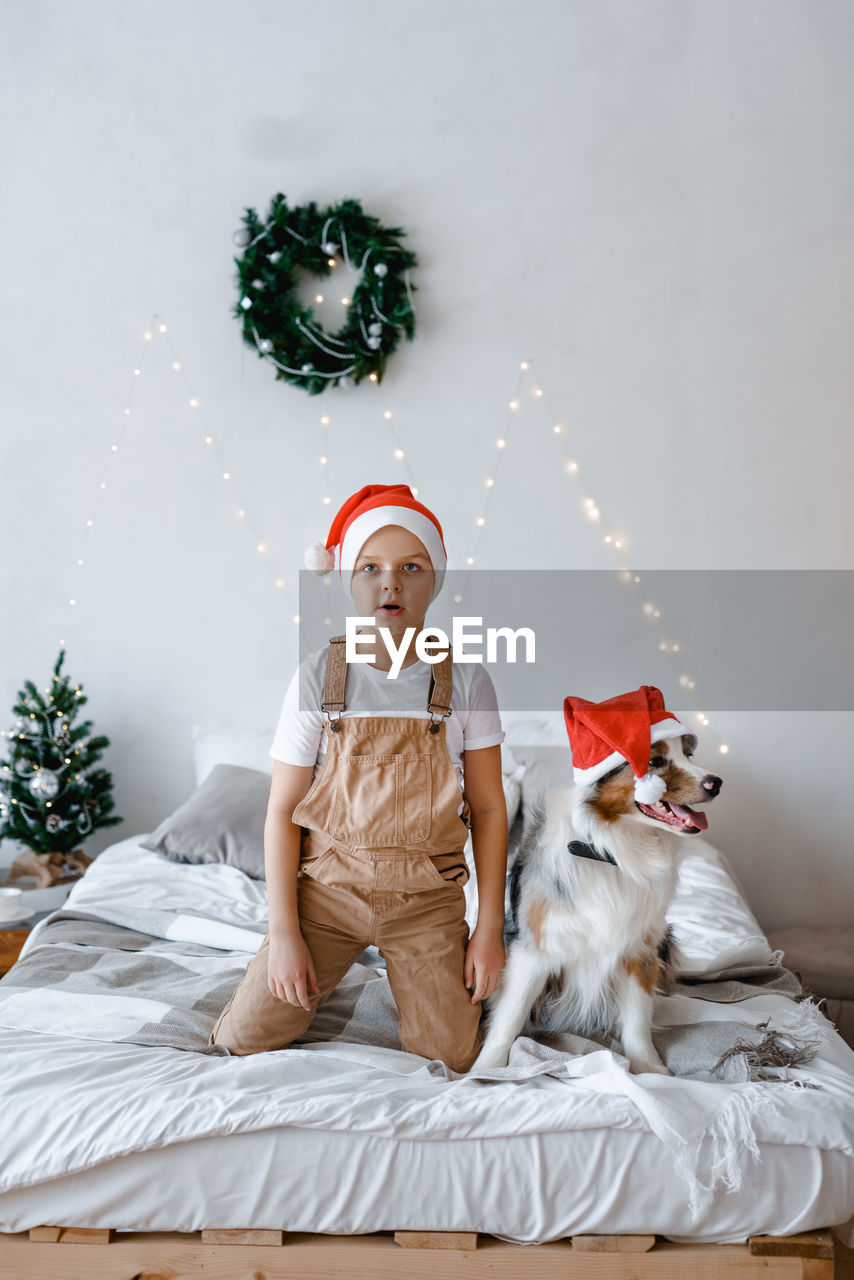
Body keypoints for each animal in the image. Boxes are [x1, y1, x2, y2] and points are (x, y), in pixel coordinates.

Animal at [471, 727, 727, 1075]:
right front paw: (487, 1068)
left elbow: (637, 1017)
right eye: (654, 761)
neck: (611, 850)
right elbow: (510, 1015)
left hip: (666, 938)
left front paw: (648, 1068)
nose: (716, 783)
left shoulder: (640, 947)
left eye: (689, 755)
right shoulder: (534, 947)